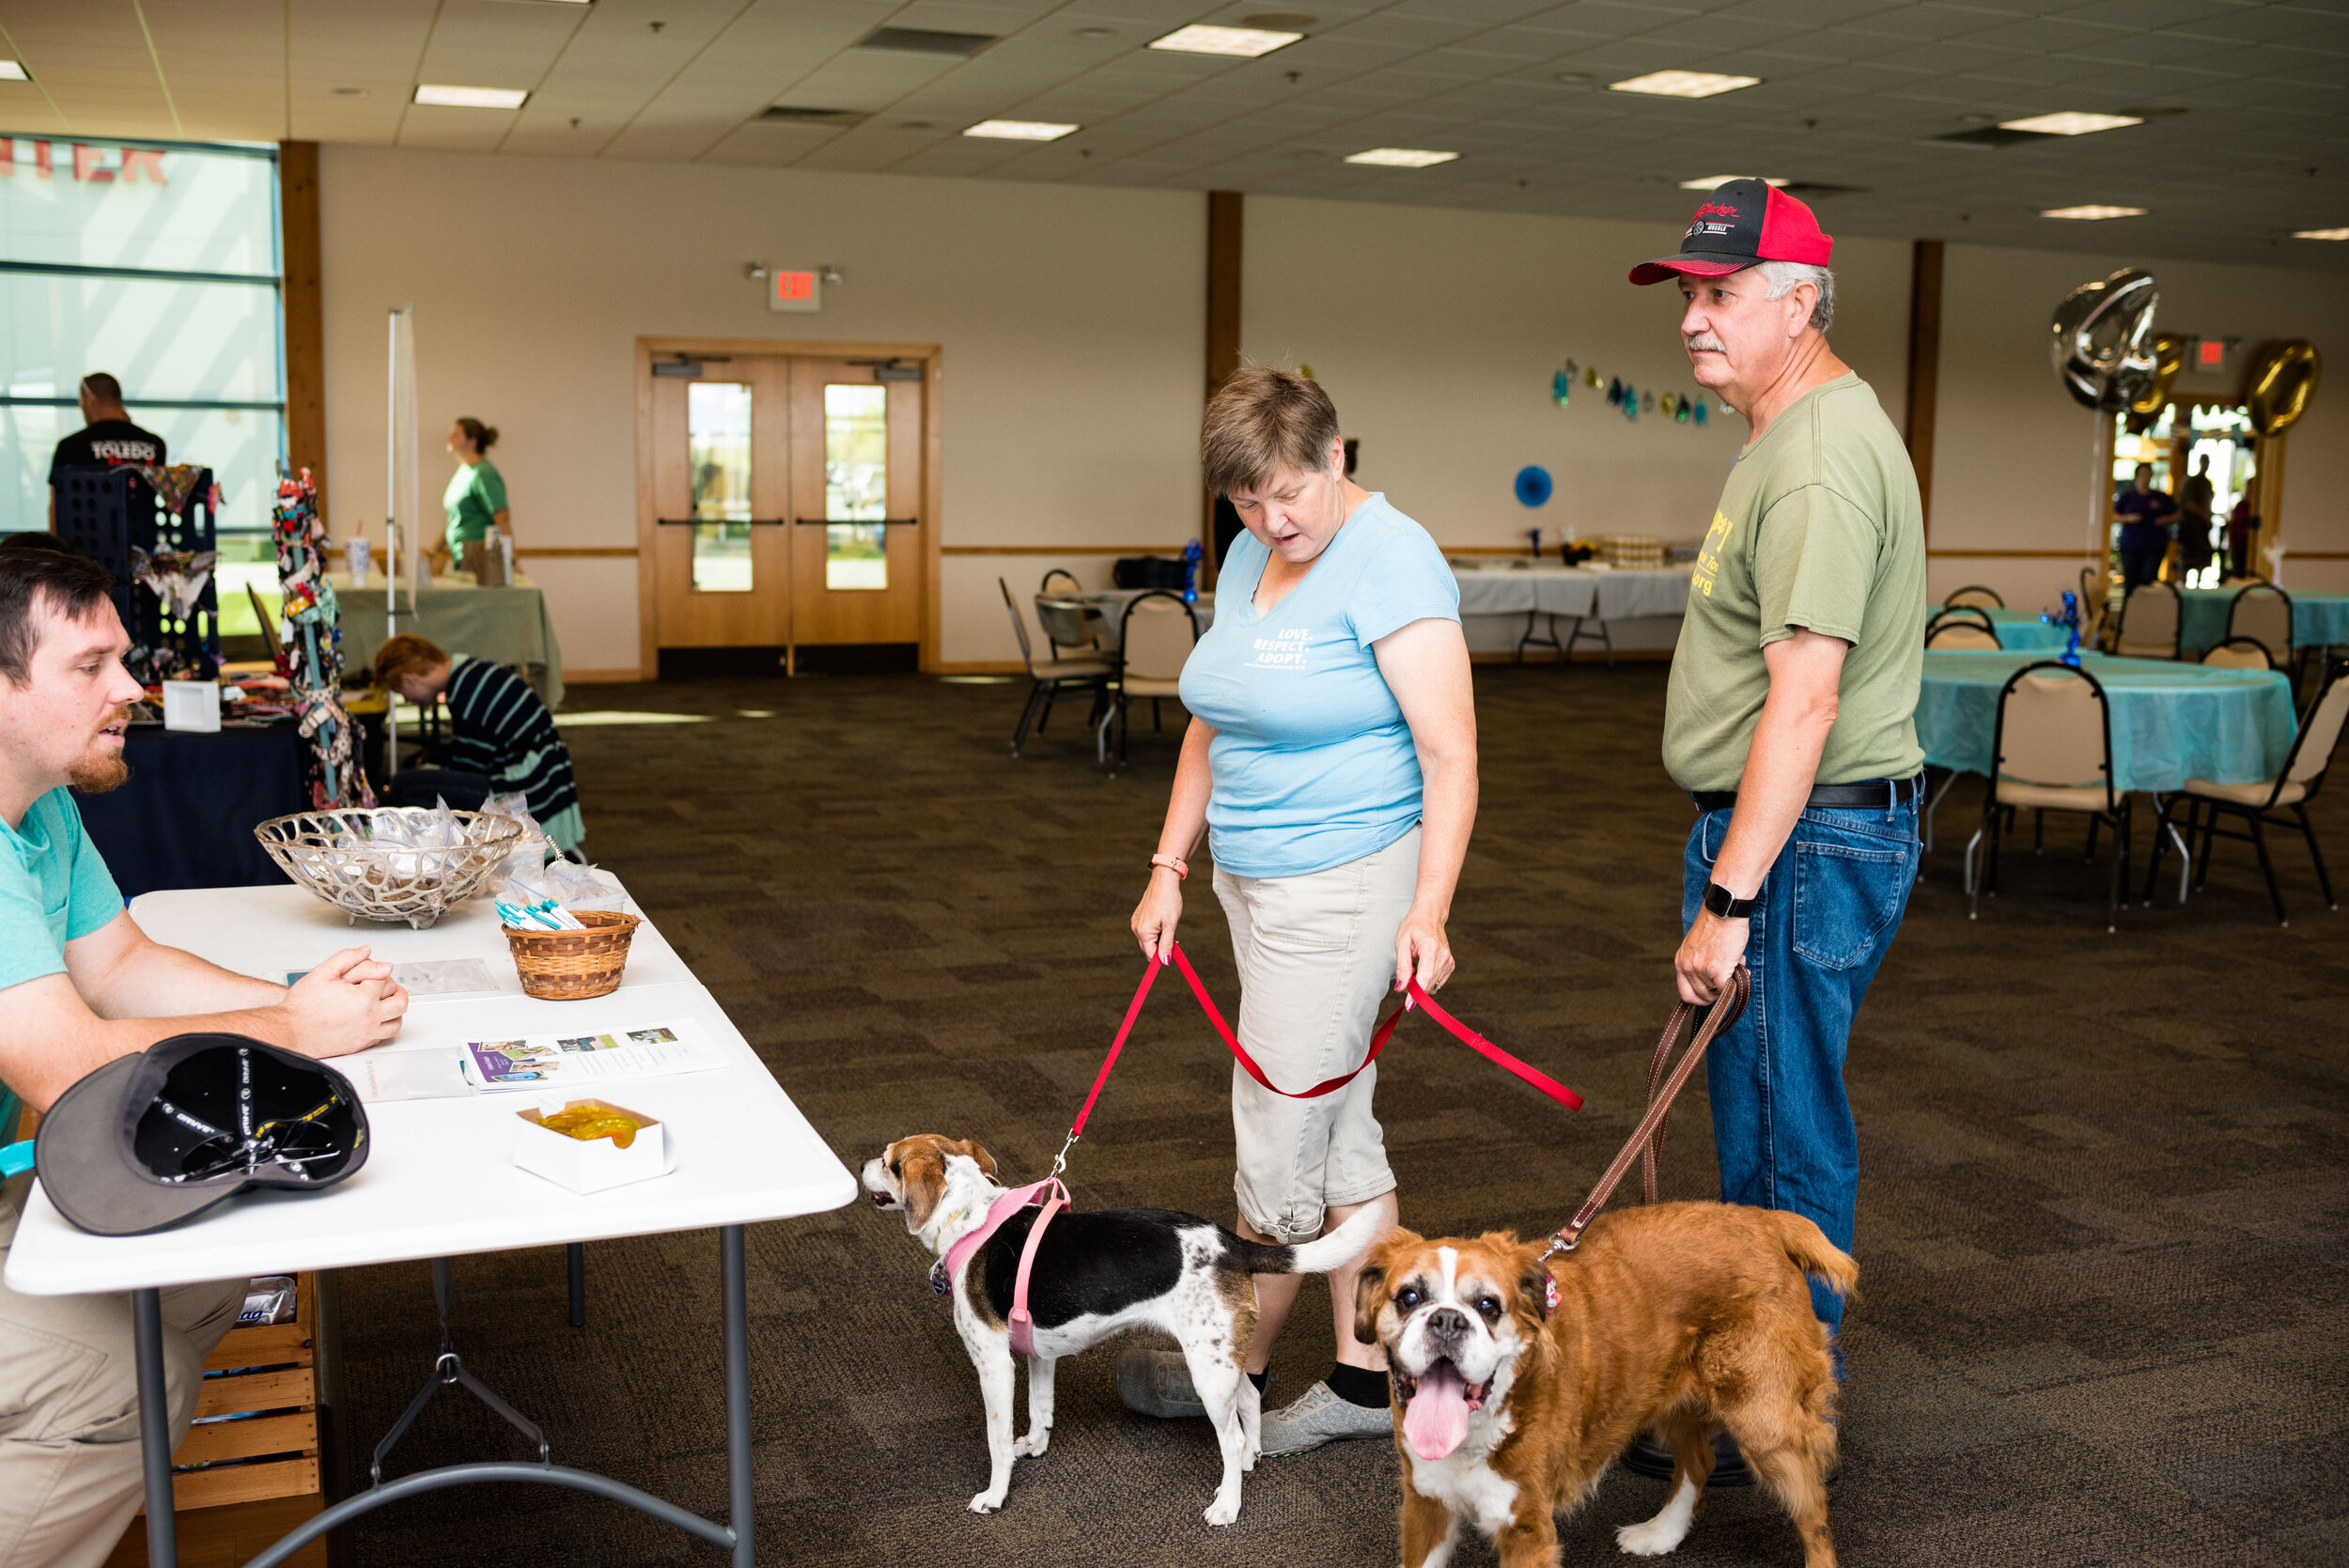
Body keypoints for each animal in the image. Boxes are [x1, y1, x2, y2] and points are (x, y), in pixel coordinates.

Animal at [860, 1131, 1372, 1521]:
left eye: (888, 1162)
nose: (861, 1163)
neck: (972, 1218)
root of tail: (1232, 1244)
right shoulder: (1040, 1355)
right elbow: (1040, 1409)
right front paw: (1035, 1445)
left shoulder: (994, 1366)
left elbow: (996, 1440)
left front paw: (995, 1495)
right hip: (1221, 1357)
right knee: (1248, 1397)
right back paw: (1251, 1460)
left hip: (1206, 1370)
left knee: (1230, 1437)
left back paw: (1227, 1505)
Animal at [1362, 1211, 1851, 1559]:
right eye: (1409, 1298)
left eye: (1488, 1306)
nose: (1448, 1320)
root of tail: (1764, 1220)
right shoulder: (1425, 1508)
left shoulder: (1527, 1528)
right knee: (1700, 1461)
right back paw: (1662, 1533)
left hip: (1766, 1426)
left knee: (1816, 1514)